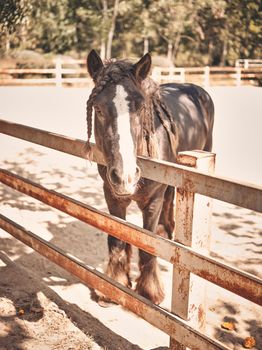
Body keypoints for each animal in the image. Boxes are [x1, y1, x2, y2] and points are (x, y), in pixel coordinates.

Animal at [86, 50, 215, 306]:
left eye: (139, 107)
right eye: (98, 109)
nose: (125, 176)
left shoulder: (152, 201)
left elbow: (147, 246)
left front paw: (150, 291)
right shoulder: (112, 197)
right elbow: (117, 239)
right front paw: (114, 284)